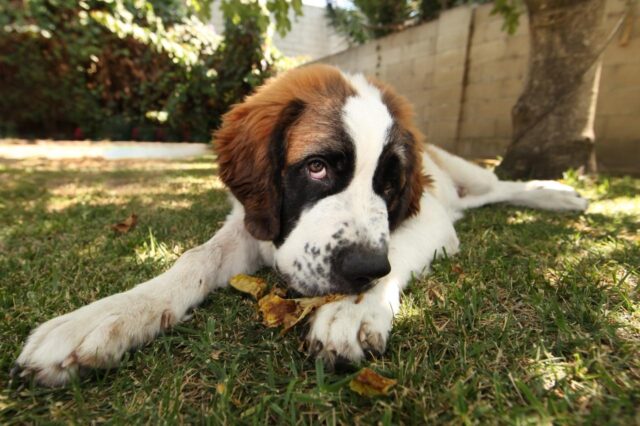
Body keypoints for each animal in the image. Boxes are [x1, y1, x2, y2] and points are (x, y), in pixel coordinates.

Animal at [12, 64, 588, 386]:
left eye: (389, 183)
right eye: (316, 168)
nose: (362, 270)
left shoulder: (430, 222)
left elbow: (397, 250)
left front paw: (356, 309)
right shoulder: (251, 223)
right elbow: (194, 259)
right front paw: (108, 316)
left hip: (466, 175)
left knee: (500, 188)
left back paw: (558, 195)